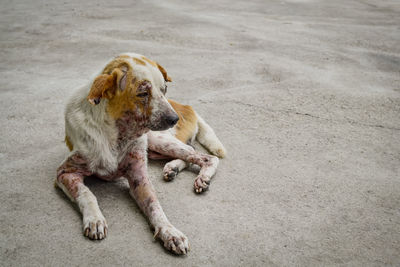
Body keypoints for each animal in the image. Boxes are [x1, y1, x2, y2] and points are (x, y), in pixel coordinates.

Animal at [54, 52, 227, 255]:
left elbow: (155, 206)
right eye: (143, 93)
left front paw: (170, 232)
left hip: (157, 139)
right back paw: (173, 168)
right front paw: (95, 219)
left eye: (164, 89)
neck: (117, 134)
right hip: (154, 147)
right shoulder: (64, 172)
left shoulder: (139, 176)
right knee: (192, 153)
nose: (174, 119)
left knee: (203, 155)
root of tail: (184, 106)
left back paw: (201, 177)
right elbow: (86, 193)